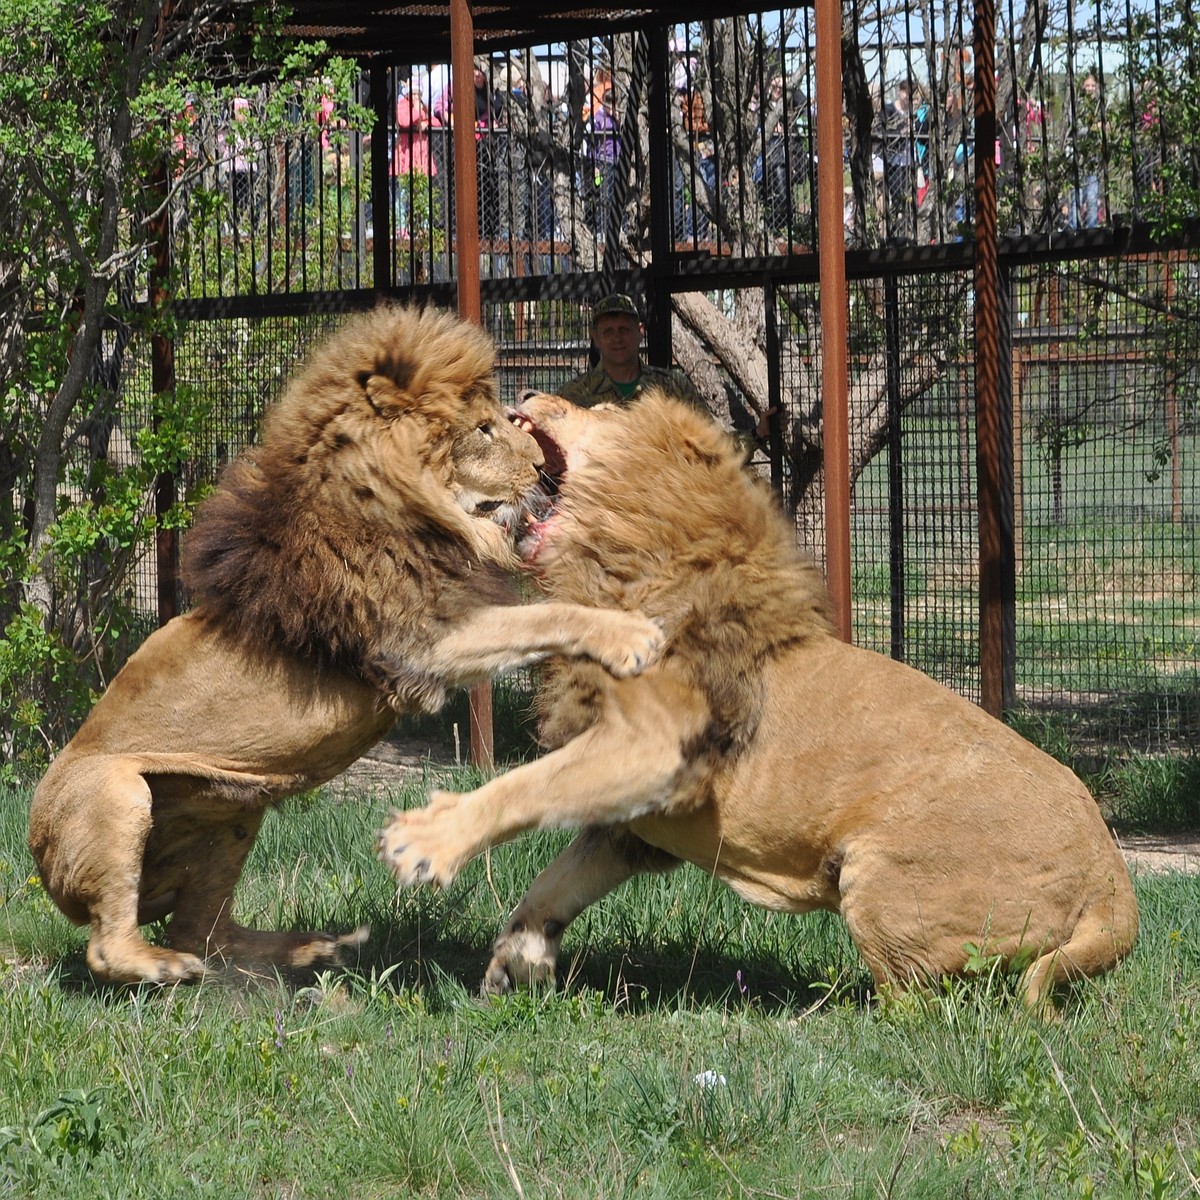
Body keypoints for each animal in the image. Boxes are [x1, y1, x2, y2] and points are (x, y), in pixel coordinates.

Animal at [25, 309, 667, 984]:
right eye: (484, 429)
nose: (542, 473)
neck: (401, 512)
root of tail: (39, 856)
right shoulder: (422, 644)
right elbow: (542, 616)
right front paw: (631, 634)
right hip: (118, 794)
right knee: (112, 946)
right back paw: (168, 968)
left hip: (235, 812)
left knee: (206, 931)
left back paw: (310, 948)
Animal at [379, 391, 1137, 1012]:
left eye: (603, 409)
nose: (529, 398)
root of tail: (1115, 885)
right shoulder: (633, 819)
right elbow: (553, 881)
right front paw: (518, 962)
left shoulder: (655, 748)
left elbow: (522, 789)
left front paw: (429, 841)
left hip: (881, 878)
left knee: (926, 1009)